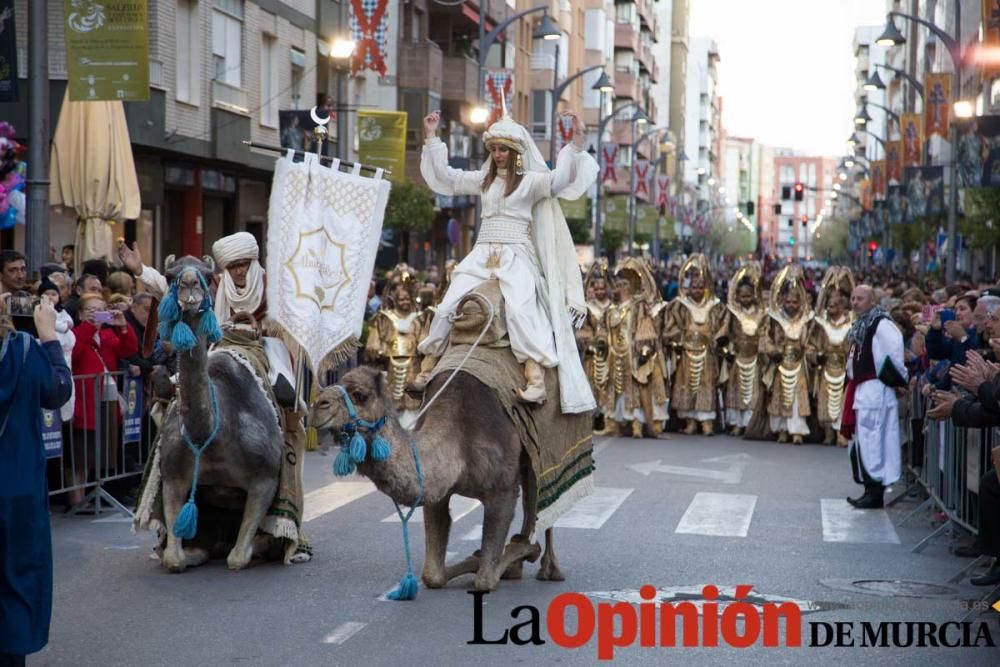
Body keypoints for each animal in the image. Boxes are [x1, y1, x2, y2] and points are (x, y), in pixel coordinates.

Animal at [310, 284, 572, 592]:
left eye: (359, 395)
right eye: (338, 382)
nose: (317, 406)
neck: (459, 440)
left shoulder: (502, 490)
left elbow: (485, 579)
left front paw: (517, 552)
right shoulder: (437, 490)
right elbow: (432, 575)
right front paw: (481, 557)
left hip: (546, 447)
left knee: (544, 498)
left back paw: (550, 567)